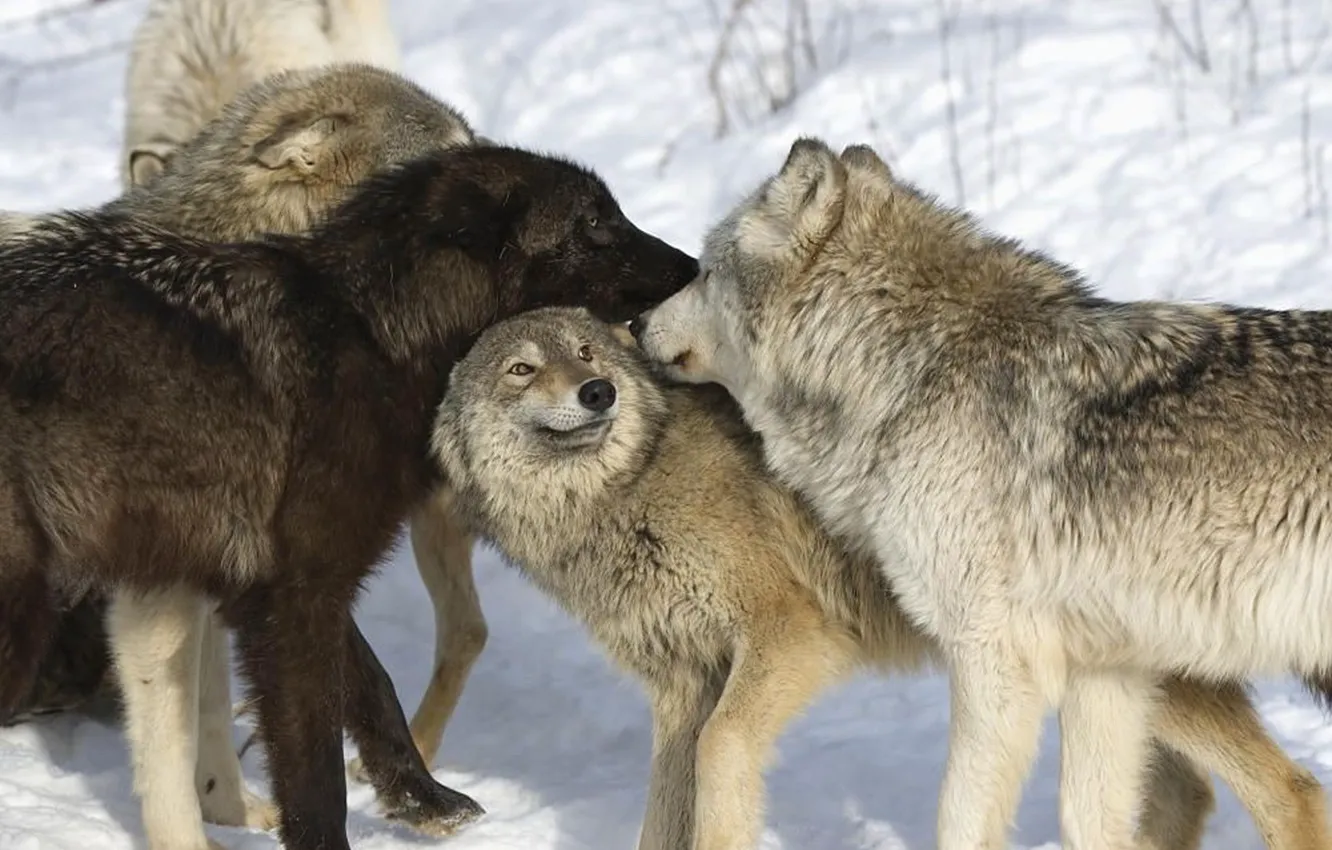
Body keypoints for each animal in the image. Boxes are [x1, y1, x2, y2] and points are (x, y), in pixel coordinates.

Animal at [0, 138, 697, 850]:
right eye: (594, 223)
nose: (691, 266)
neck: (378, 333)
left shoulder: (287, 585)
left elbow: (373, 688)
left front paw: (424, 799)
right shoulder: (294, 597)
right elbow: (316, 775)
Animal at [431, 306, 1331, 850]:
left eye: (585, 353)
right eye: (521, 370)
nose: (598, 390)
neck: (628, 492)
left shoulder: (789, 637)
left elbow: (721, 762)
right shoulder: (682, 688)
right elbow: (663, 819)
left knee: (1291, 791)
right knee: (1192, 795)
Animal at [632, 136, 1332, 850]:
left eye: (704, 271)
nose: (634, 322)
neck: (910, 370)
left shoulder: (992, 661)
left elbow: (960, 818)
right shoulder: (1103, 671)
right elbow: (1087, 820)